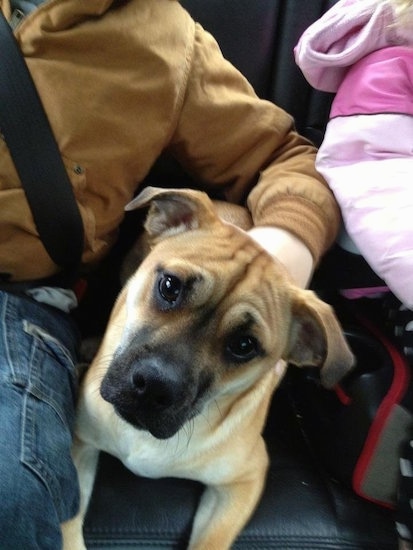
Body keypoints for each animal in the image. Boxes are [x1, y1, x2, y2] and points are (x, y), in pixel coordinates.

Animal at [62, 188, 352, 548]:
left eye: (244, 345)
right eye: (169, 286)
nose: (154, 386)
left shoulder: (244, 481)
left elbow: (210, 541)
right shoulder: (79, 446)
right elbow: (67, 527)